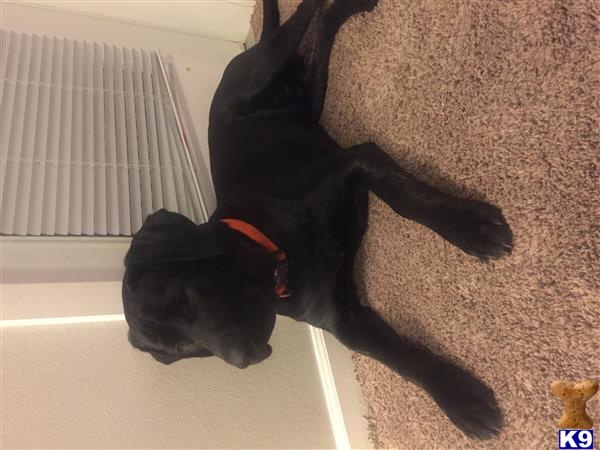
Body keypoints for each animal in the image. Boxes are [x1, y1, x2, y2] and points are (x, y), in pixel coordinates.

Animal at [122, 0, 510, 442]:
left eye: (181, 296)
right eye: (182, 350)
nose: (246, 357)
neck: (280, 258)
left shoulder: (356, 161)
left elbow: (409, 201)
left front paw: (471, 228)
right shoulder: (346, 321)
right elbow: (401, 359)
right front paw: (461, 400)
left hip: (268, 63)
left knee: (308, 16)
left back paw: (345, 6)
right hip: (309, 101)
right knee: (318, 44)